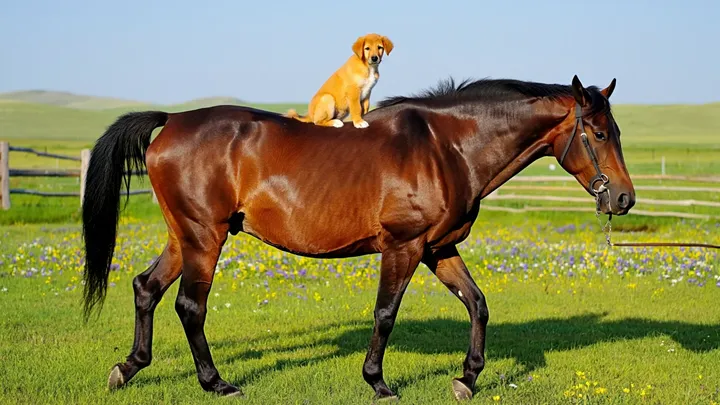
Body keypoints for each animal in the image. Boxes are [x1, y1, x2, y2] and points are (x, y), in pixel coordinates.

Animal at [81, 75, 635, 401]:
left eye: (617, 132)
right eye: (599, 134)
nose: (624, 198)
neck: (448, 148)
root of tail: (172, 120)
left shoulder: (439, 248)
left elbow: (477, 304)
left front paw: (467, 377)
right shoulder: (404, 247)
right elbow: (386, 314)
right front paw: (379, 382)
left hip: (185, 237)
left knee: (146, 288)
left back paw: (128, 368)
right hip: (204, 237)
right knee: (189, 306)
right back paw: (215, 382)